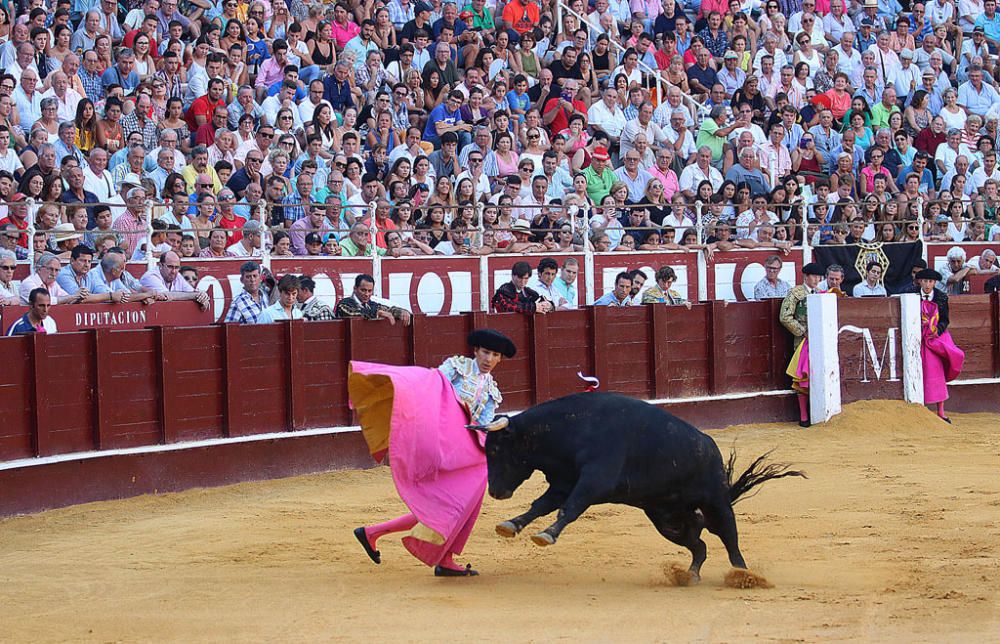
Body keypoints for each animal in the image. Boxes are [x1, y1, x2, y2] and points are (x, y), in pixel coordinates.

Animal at [468, 390, 804, 580]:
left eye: (496, 449)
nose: (495, 491)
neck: (569, 429)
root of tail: (710, 447)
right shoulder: (563, 482)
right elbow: (541, 505)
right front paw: (510, 525)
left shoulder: (594, 481)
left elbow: (570, 508)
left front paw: (546, 535)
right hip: (667, 519)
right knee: (699, 544)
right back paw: (689, 576)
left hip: (716, 503)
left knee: (730, 539)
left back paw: (742, 575)